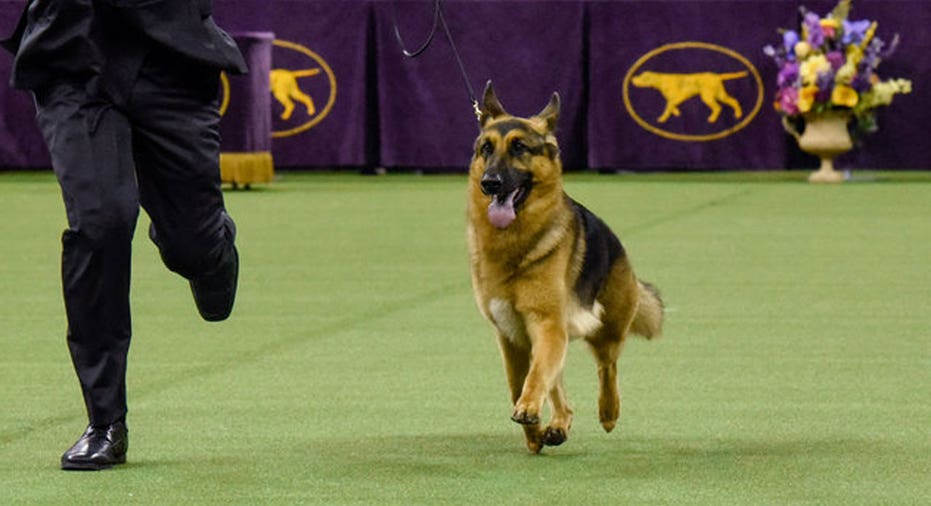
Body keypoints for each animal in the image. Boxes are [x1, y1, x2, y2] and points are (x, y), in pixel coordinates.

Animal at [466, 83, 664, 454]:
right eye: (487, 148)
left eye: (519, 147)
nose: (490, 183)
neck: (517, 244)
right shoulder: (512, 335)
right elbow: (522, 382)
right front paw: (533, 432)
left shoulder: (546, 323)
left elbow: (536, 377)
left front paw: (530, 408)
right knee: (558, 385)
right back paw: (557, 424)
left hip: (607, 330)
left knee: (607, 367)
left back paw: (608, 412)